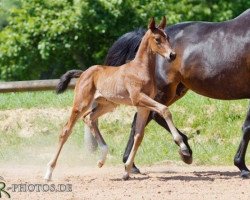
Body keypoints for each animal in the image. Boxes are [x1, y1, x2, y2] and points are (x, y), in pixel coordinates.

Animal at [44, 16, 188, 180]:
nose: (172, 55)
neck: (140, 69)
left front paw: (126, 170)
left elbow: (139, 135)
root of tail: (83, 73)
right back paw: (49, 172)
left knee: (89, 118)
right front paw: (182, 146)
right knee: (66, 131)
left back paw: (102, 159)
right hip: (81, 103)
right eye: (157, 39)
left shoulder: (142, 107)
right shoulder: (138, 98)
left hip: (108, 105)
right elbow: (164, 110)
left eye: (168, 37)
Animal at [104, 9, 249, 177]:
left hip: (175, 90)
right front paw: (242, 167)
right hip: (163, 91)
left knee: (147, 118)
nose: (171, 55)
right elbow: (247, 127)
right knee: (153, 115)